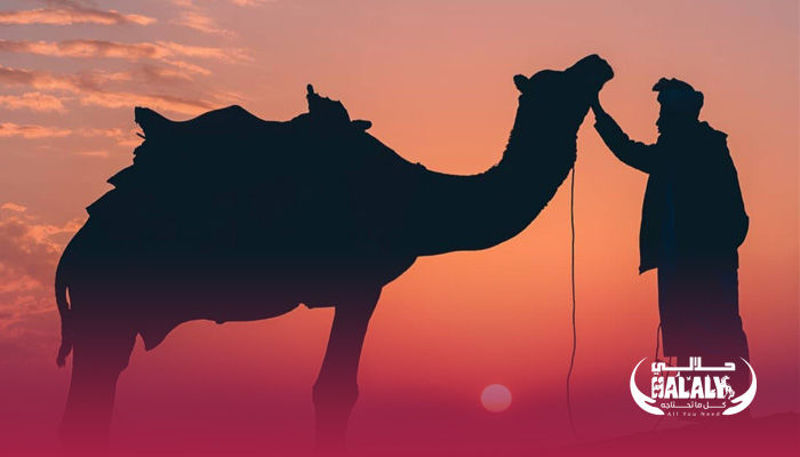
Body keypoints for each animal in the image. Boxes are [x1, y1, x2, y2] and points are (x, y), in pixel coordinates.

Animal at [54, 54, 613, 452]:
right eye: (558, 81)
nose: (597, 63)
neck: (420, 199)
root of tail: (79, 244)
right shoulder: (361, 283)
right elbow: (335, 390)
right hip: (108, 301)